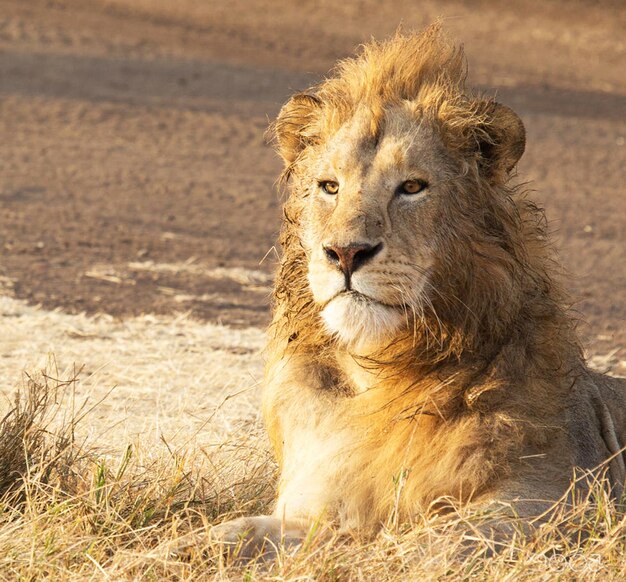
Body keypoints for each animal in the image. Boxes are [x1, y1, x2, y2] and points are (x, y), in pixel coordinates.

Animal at [211, 25, 624, 560]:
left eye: (411, 187)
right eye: (329, 187)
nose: (345, 253)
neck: (381, 374)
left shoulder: (559, 500)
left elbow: (442, 539)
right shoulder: (310, 501)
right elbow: (236, 532)